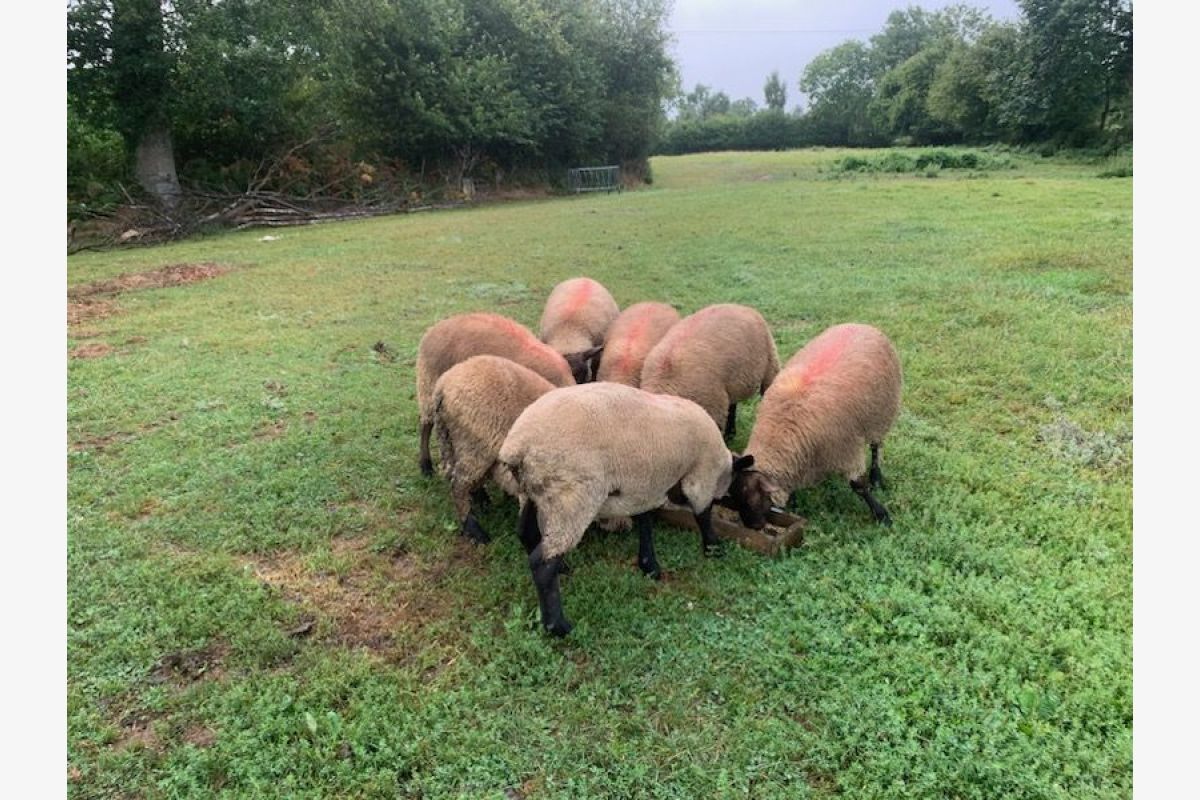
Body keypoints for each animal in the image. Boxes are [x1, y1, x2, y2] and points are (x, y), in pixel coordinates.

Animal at [496, 381, 748, 638]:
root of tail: (517, 447)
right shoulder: (701, 474)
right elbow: (703, 513)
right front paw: (713, 548)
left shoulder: (644, 485)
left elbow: (645, 518)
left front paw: (649, 565)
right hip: (572, 497)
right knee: (543, 564)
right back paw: (558, 626)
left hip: (533, 494)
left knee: (527, 534)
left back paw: (563, 569)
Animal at [720, 321, 902, 527]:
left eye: (750, 500)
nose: (754, 527)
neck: (783, 428)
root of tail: (860, 324)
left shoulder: (846, 449)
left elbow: (859, 485)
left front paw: (881, 514)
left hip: (881, 414)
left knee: (876, 446)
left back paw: (876, 477)